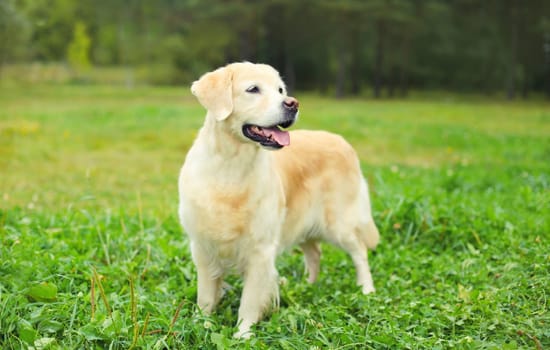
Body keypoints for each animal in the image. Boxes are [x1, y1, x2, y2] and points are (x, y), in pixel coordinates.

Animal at [179, 61, 382, 338]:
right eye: (253, 89)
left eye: (280, 90)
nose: (293, 103)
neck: (230, 166)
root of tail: (341, 140)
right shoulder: (203, 247)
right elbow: (206, 297)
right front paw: (203, 326)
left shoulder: (260, 250)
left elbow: (249, 300)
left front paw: (242, 335)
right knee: (315, 252)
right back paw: (308, 285)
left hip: (339, 223)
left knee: (360, 252)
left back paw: (366, 290)